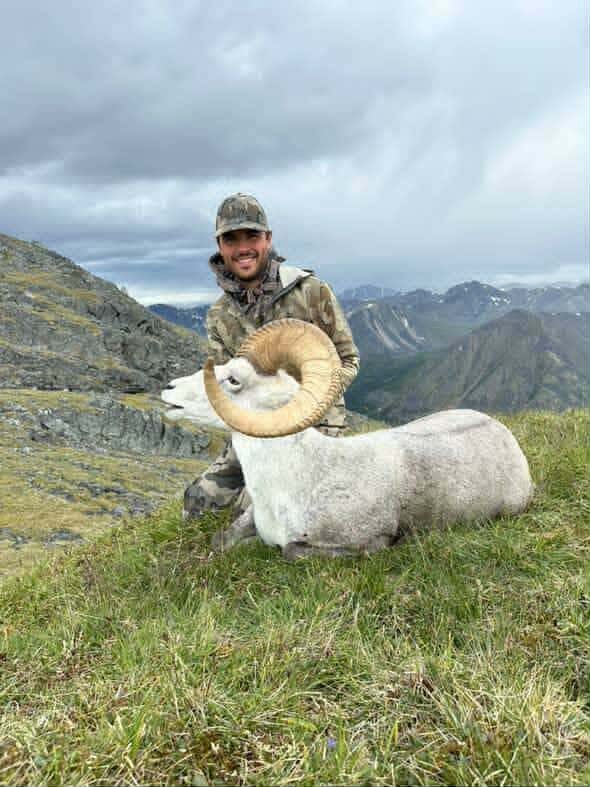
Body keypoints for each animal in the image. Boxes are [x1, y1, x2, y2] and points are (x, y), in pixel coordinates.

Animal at [162, 319, 534, 560]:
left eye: (234, 379)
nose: (168, 389)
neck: (297, 481)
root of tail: (503, 433)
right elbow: (220, 541)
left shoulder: (364, 541)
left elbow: (289, 551)